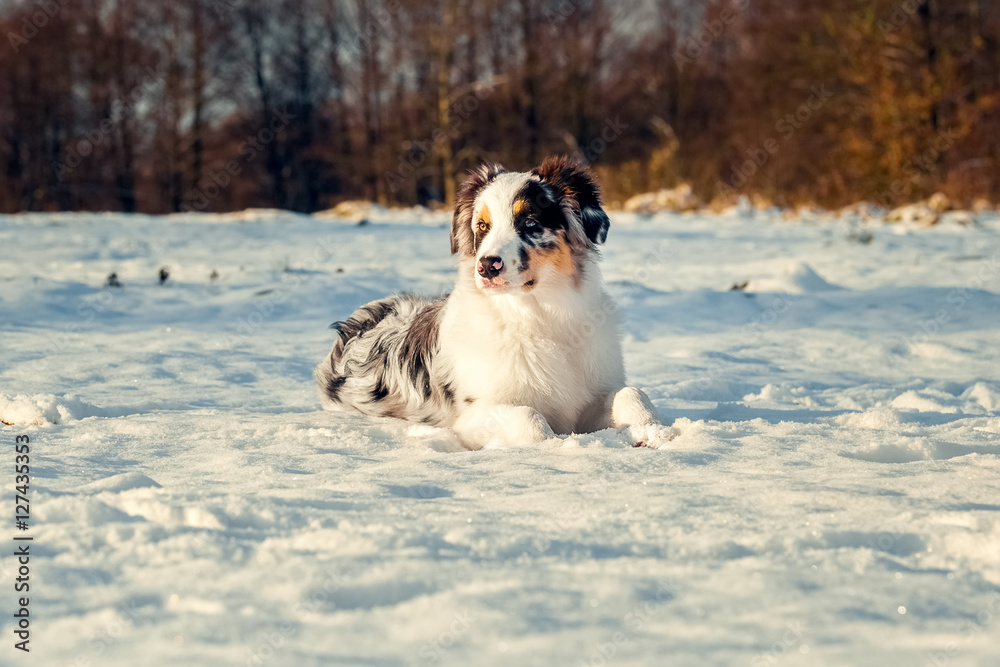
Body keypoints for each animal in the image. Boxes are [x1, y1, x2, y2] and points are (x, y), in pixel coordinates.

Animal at [318, 156, 680, 448]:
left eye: (530, 223)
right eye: (482, 226)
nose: (487, 265)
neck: (538, 314)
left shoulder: (588, 396)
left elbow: (633, 394)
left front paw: (655, 433)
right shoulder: (473, 415)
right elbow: (529, 417)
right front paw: (559, 447)